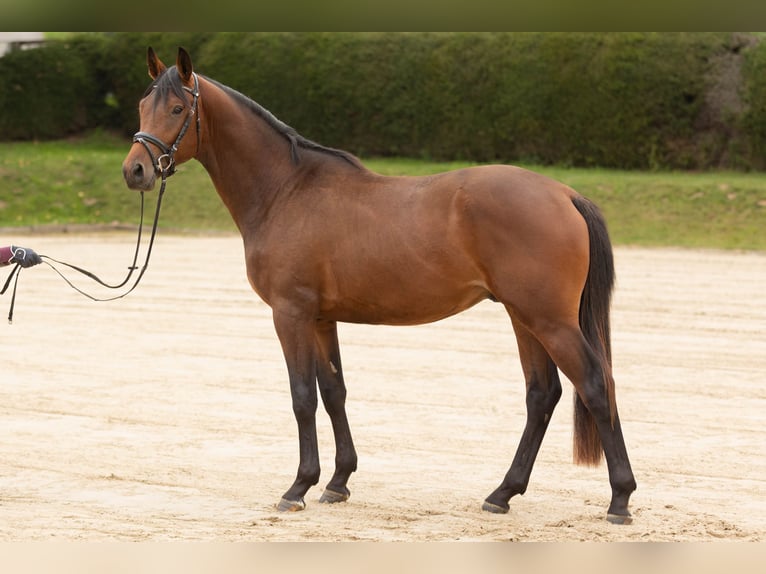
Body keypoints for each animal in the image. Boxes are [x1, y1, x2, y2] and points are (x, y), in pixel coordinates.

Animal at [121, 48, 636, 528]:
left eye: (176, 108)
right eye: (142, 105)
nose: (135, 171)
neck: (286, 190)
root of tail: (565, 194)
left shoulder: (290, 314)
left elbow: (302, 397)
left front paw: (298, 487)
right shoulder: (321, 318)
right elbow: (334, 392)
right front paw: (337, 482)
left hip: (549, 321)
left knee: (595, 384)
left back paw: (620, 499)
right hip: (523, 317)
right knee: (541, 395)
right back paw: (502, 493)